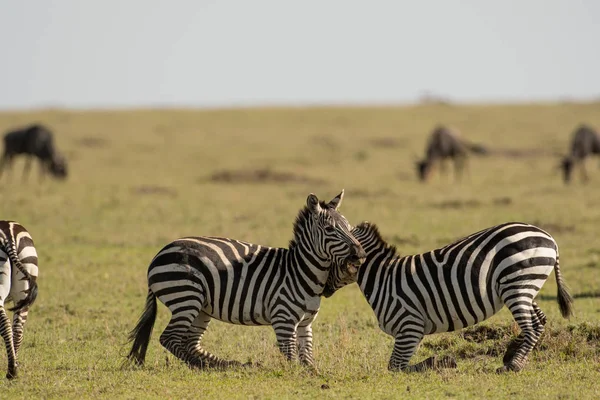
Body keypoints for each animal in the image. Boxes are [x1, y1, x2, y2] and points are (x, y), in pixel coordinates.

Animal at [126, 190, 366, 368]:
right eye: (329, 229)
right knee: (170, 339)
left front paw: (315, 374)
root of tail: (159, 254)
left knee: (189, 342)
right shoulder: (283, 319)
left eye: (349, 227)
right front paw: (295, 374)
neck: (301, 271)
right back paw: (209, 366)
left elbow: (308, 359)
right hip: (186, 296)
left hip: (202, 307)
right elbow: (291, 358)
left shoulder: (305, 324)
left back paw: (228, 365)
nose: (361, 254)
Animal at [326, 220, 576, 374]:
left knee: (532, 326)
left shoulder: (409, 326)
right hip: (525, 286)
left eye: (326, 259)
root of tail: (549, 237)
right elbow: (396, 366)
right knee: (539, 321)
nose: (324, 289)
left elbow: (395, 366)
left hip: (517, 283)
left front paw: (441, 362)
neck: (382, 277)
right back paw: (512, 355)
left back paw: (512, 365)